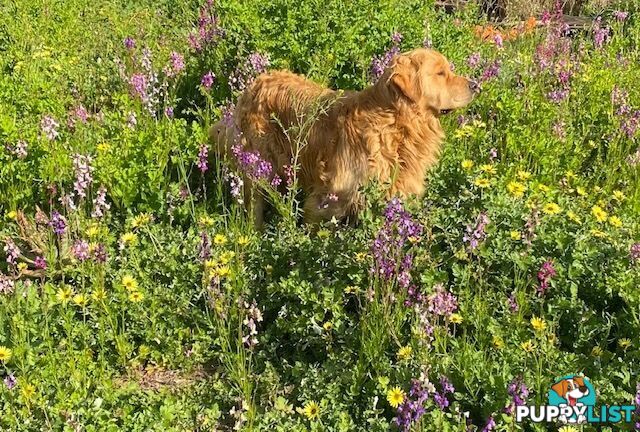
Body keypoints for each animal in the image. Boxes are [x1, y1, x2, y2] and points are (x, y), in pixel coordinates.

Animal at [212, 48, 478, 226]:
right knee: (254, 202)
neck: (393, 123)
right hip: (259, 164)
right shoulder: (327, 199)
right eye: (440, 73)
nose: (476, 85)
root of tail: (254, 83)